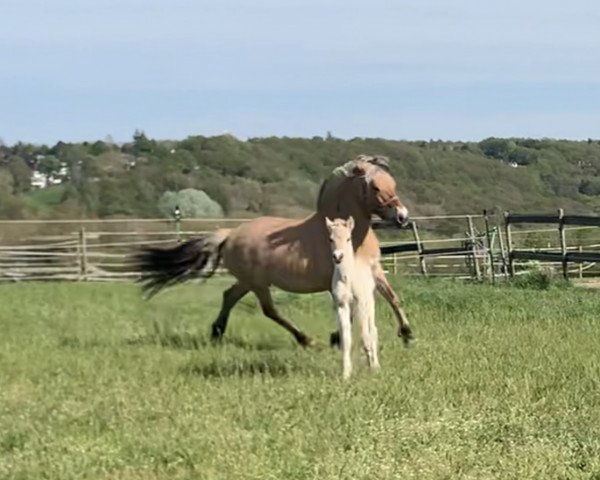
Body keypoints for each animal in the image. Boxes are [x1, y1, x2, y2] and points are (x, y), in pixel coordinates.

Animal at [134, 156, 412, 346]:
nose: (402, 217)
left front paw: (408, 334)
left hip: (248, 281)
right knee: (269, 310)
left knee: (229, 296)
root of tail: (230, 234)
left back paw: (217, 332)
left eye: (393, 183)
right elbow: (349, 309)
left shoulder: (375, 272)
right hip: (258, 284)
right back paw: (306, 340)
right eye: (375, 187)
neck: (348, 236)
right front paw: (336, 338)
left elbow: (393, 298)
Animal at [326, 218, 378, 378]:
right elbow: (346, 340)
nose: (338, 257)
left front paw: (372, 368)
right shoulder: (342, 305)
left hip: (369, 305)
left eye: (348, 238)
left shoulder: (361, 304)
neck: (347, 278)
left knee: (372, 330)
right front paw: (346, 373)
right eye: (331, 239)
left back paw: (376, 364)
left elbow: (365, 338)